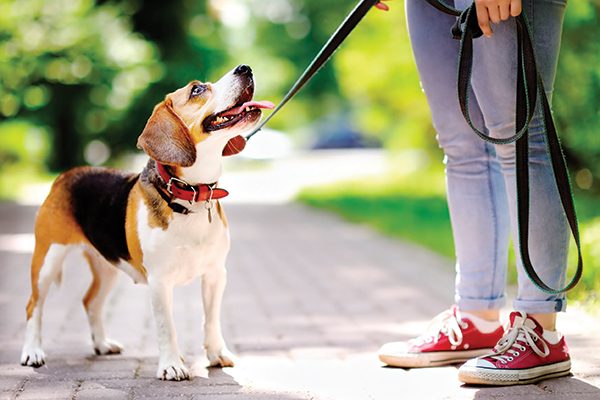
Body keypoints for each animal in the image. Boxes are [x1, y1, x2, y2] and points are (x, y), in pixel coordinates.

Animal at [19, 64, 274, 380]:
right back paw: (32, 352)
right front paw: (172, 365)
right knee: (34, 305)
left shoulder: (216, 274)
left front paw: (217, 354)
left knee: (90, 302)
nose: (245, 68)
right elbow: (167, 327)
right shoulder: (160, 281)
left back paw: (102, 344)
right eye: (197, 90)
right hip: (47, 259)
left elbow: (211, 320)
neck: (190, 196)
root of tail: (67, 175)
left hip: (107, 266)